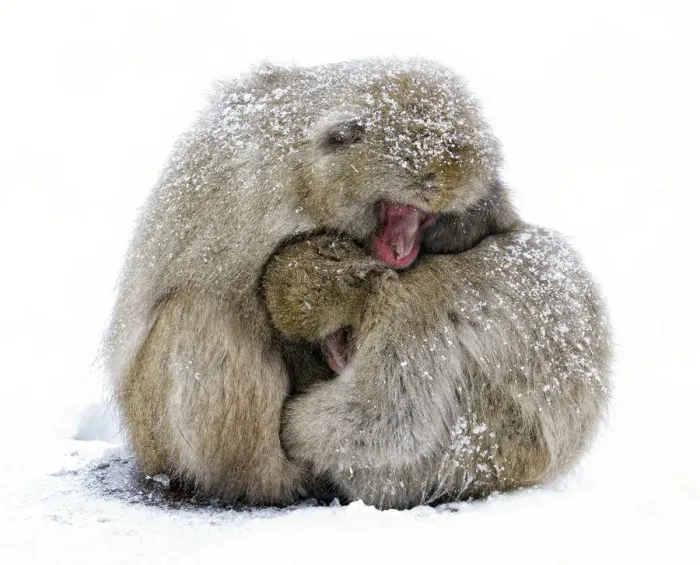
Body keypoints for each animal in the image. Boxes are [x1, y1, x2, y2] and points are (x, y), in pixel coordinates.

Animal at [103, 58, 612, 507]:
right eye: (398, 208)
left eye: (425, 216)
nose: (404, 250)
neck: (308, 178)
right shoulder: (258, 202)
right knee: (196, 314)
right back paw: (257, 485)